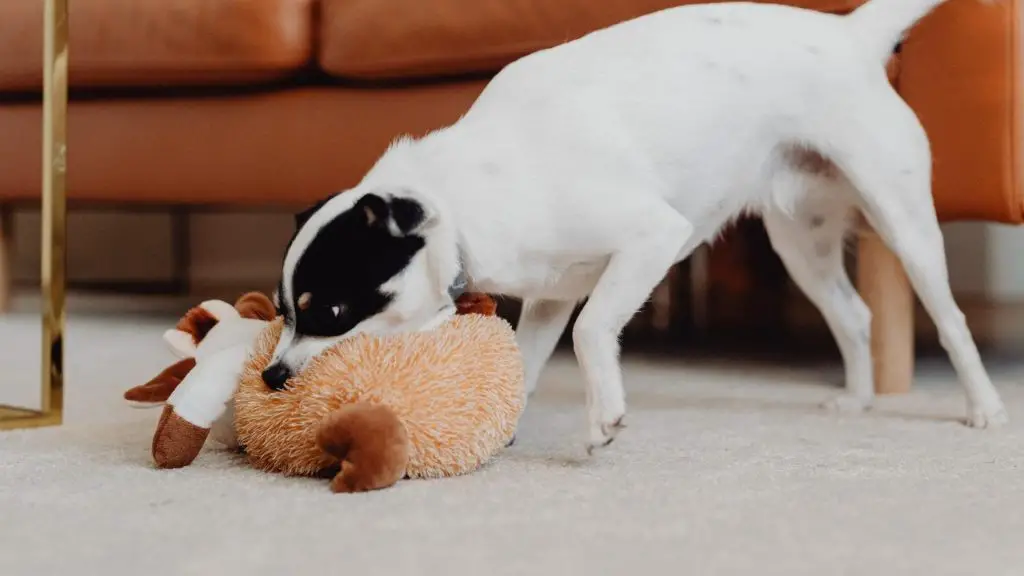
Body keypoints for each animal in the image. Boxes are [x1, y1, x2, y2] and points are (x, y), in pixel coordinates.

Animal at [262, 0, 1007, 453]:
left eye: (330, 311)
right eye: (282, 311)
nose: (270, 376)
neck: (467, 197)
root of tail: (848, 35)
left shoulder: (652, 237)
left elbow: (594, 331)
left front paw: (603, 419)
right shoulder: (550, 293)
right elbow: (527, 362)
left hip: (902, 218)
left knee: (950, 320)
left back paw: (984, 407)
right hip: (802, 240)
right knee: (854, 315)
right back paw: (857, 399)